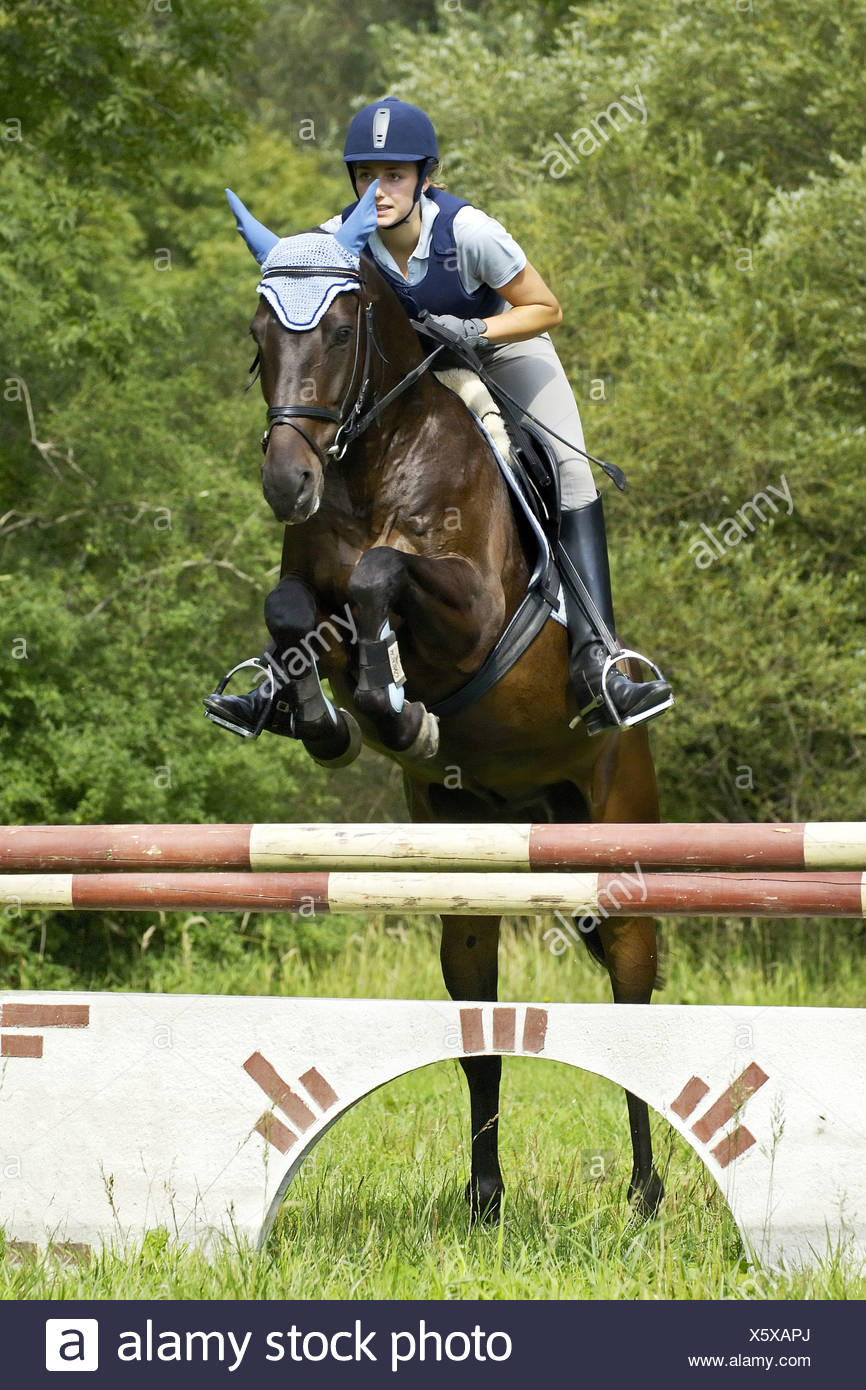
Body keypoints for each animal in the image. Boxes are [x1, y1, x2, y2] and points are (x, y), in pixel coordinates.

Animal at [218, 185, 664, 1221]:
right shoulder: (313, 596)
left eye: (342, 330)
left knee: (632, 999)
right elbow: (295, 608)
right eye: (259, 333)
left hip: (617, 836)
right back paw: (486, 1197)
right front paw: (326, 721)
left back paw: (645, 1193)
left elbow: (382, 574)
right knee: (479, 1028)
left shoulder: (470, 616)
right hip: (471, 863)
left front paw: (396, 710)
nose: (287, 482)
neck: (369, 462)